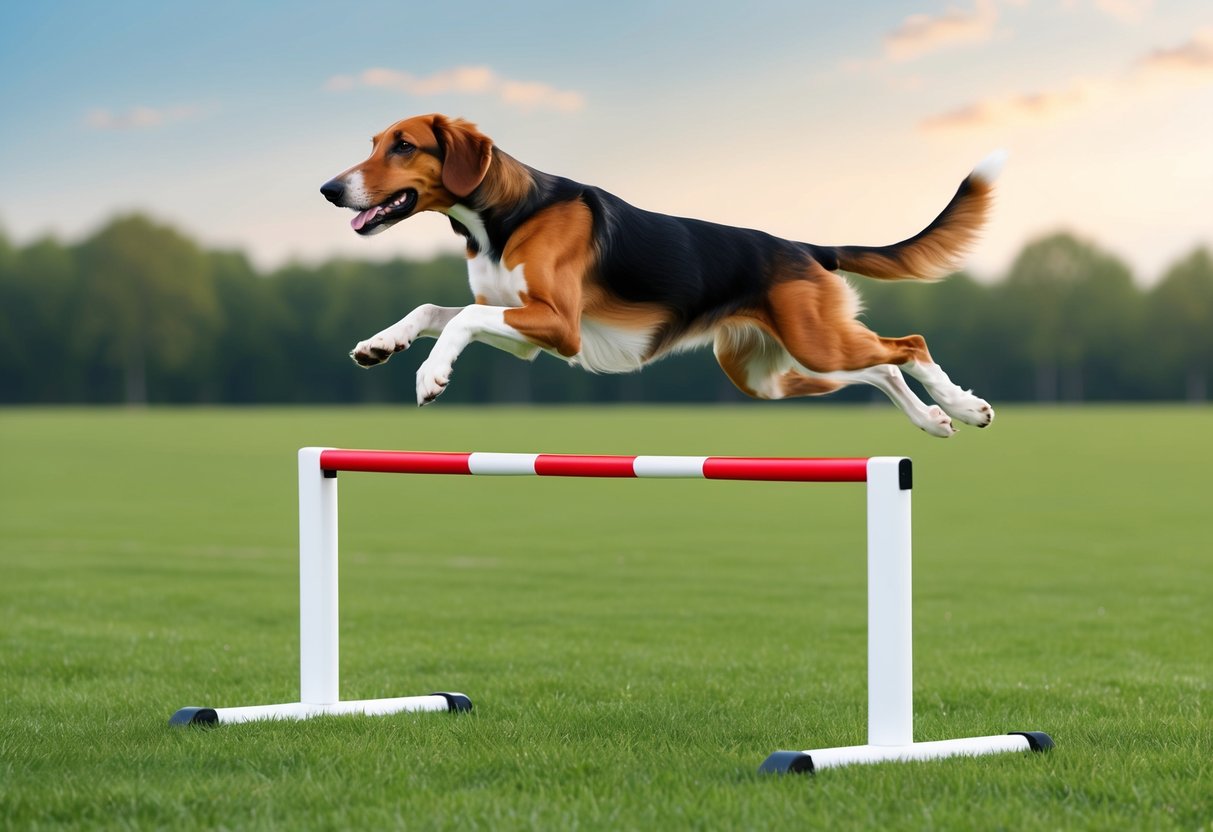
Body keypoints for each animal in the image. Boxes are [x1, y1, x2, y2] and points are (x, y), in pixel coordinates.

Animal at [317, 112, 999, 436]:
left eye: (403, 145)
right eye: (374, 143)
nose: (329, 190)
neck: (508, 216)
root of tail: (806, 247)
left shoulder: (557, 324)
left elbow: (461, 322)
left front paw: (430, 376)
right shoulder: (526, 334)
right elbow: (435, 311)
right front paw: (382, 344)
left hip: (816, 343)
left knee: (909, 345)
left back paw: (964, 407)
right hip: (769, 373)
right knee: (882, 368)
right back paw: (933, 421)